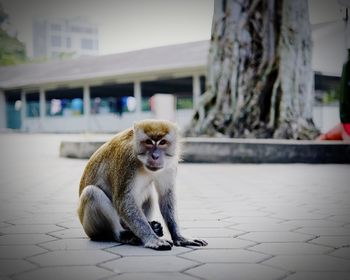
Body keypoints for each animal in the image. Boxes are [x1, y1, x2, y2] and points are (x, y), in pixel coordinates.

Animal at [77, 119, 208, 250]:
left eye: (162, 142)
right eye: (148, 142)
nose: (155, 156)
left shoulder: (169, 165)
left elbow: (166, 196)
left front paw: (179, 237)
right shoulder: (127, 160)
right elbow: (124, 201)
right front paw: (152, 239)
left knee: (149, 194)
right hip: (90, 229)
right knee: (91, 192)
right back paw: (121, 234)